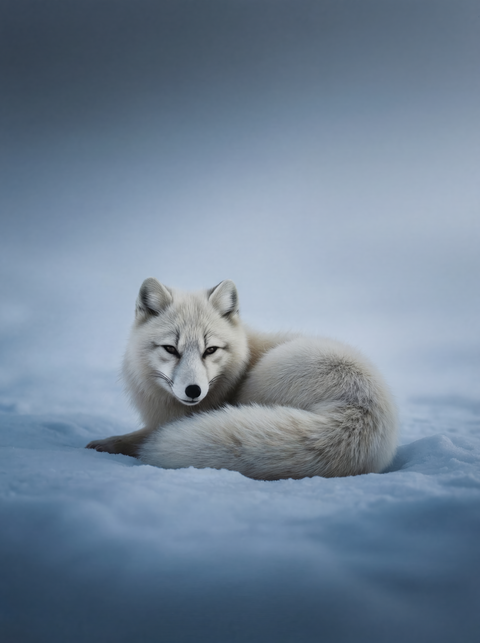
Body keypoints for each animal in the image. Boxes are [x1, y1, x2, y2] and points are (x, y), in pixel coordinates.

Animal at [86, 278, 398, 479]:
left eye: (210, 350)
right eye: (171, 349)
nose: (193, 390)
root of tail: (358, 410)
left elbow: (139, 438)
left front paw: (106, 445)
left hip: (264, 378)